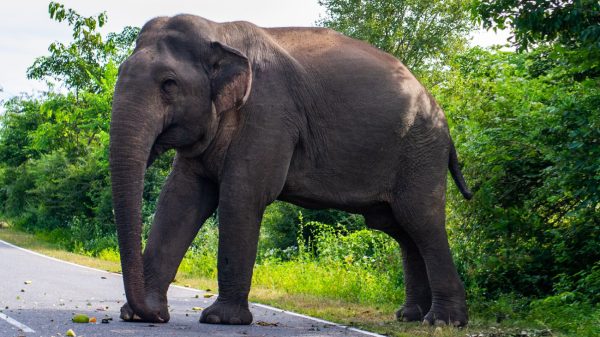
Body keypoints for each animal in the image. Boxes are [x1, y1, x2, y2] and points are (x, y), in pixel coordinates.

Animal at [108, 14, 474, 326]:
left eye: (168, 83)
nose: (158, 318)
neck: (220, 30)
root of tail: (443, 119)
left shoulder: (269, 113)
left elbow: (242, 196)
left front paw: (220, 319)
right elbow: (180, 199)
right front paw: (138, 315)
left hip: (421, 152)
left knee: (420, 220)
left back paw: (442, 322)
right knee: (399, 227)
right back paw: (410, 316)